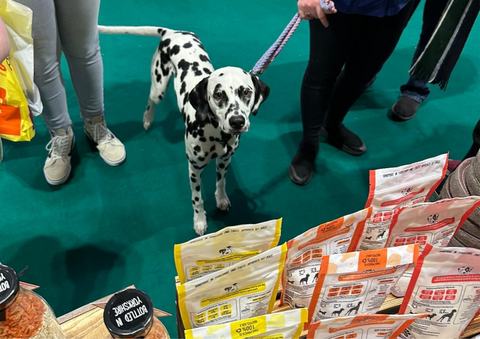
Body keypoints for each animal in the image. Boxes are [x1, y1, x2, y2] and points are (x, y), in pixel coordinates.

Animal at [97, 25, 270, 236]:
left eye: (246, 92)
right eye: (218, 94)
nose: (237, 121)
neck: (216, 133)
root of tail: (172, 32)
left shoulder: (224, 160)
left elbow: (221, 182)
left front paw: (221, 200)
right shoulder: (194, 168)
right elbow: (197, 199)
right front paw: (200, 221)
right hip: (159, 86)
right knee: (151, 98)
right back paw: (147, 118)